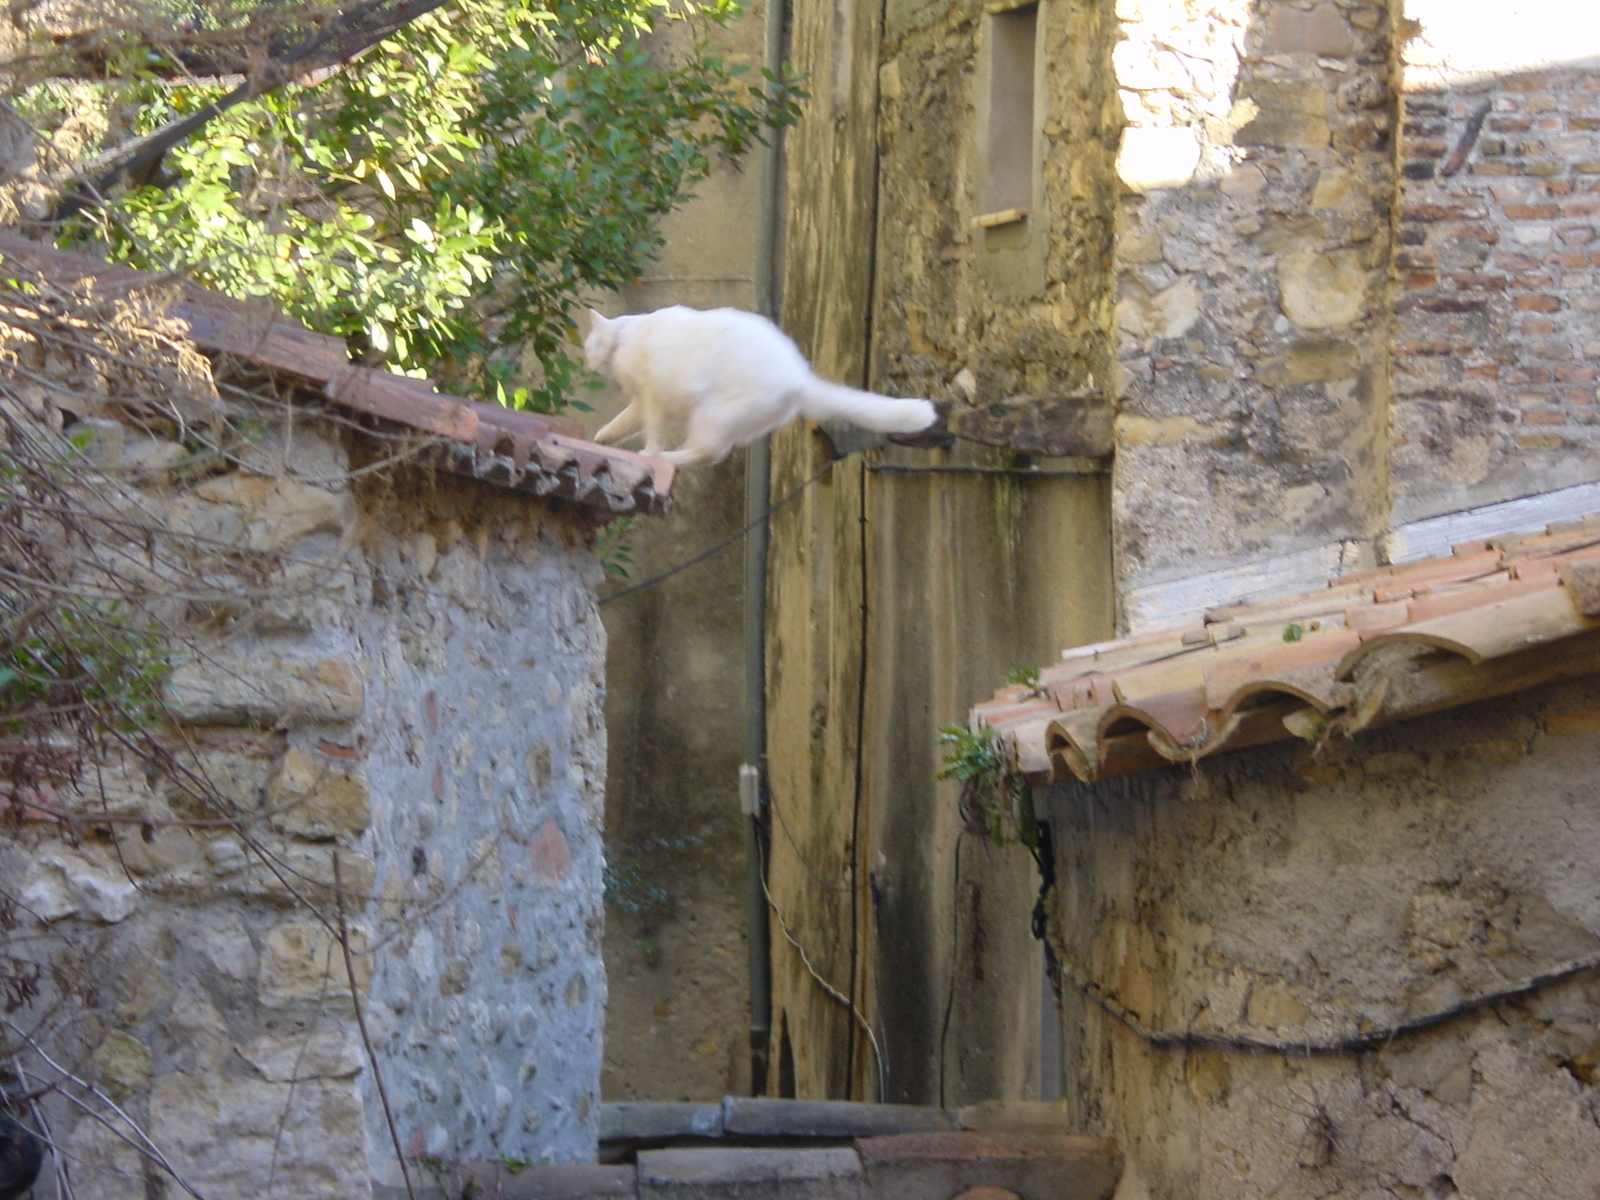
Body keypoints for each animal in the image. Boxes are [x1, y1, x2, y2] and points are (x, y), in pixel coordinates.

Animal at [588, 305, 934, 470]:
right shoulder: (640, 403)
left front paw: (649, 452)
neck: (624, 337)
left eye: (589, 344)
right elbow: (620, 423)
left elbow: (652, 430)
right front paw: (601, 439)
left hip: (711, 415)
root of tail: (797, 377)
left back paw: (669, 459)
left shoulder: (653, 399)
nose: (587, 359)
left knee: (710, 453)